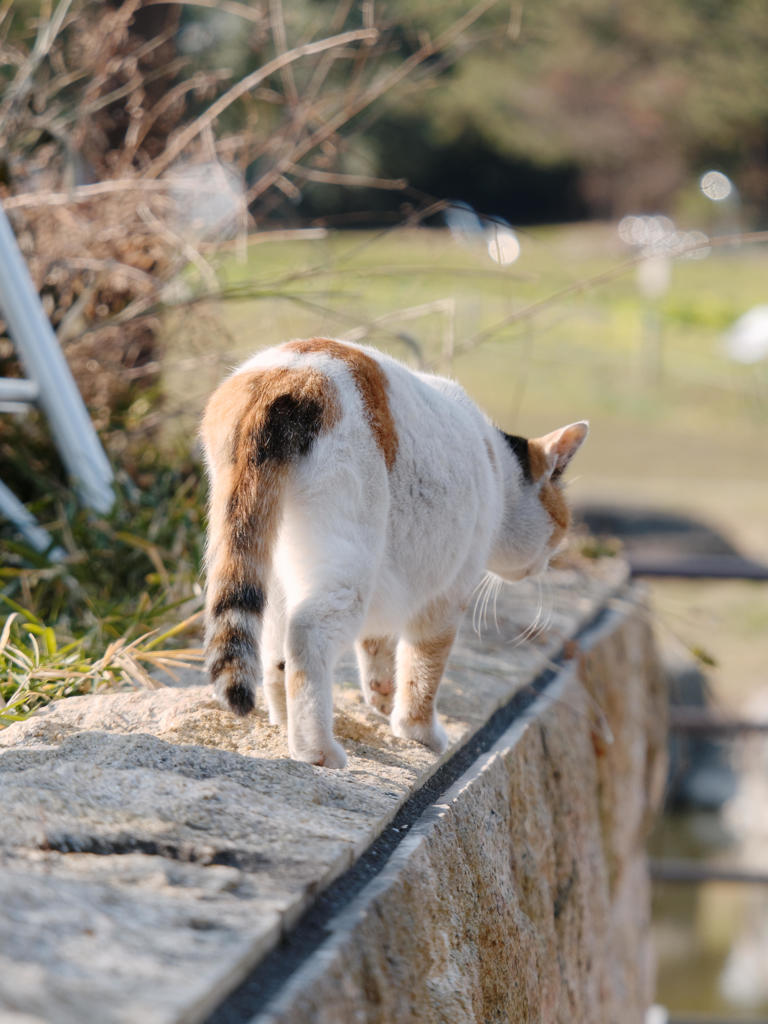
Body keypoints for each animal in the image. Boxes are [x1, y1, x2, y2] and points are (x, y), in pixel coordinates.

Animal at [202, 335, 589, 770]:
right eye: (562, 526)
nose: (548, 562)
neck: (496, 469)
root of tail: (291, 376)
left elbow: (376, 643)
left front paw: (381, 695)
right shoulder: (446, 594)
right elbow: (424, 667)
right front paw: (418, 730)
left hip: (266, 552)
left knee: (275, 648)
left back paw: (287, 726)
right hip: (349, 558)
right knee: (307, 636)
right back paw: (316, 750)